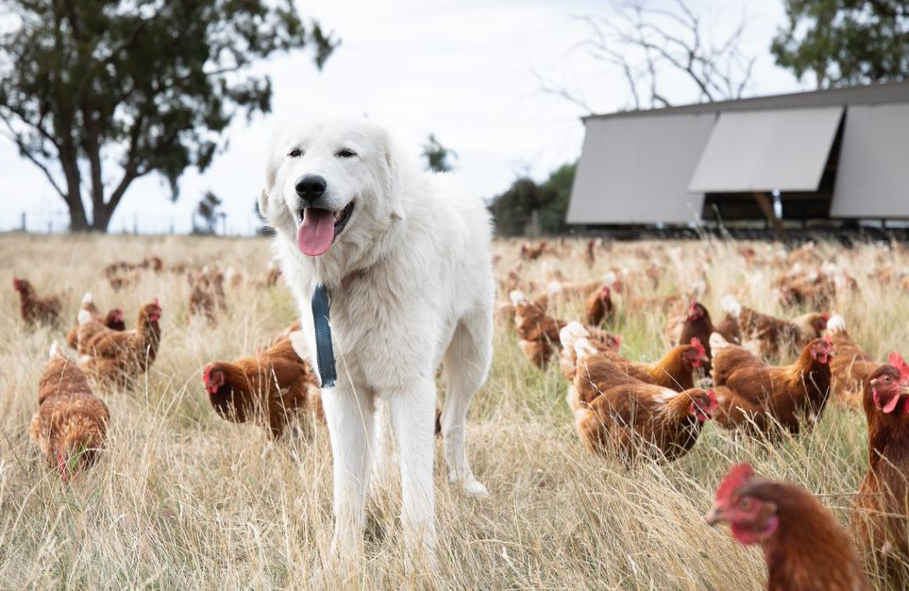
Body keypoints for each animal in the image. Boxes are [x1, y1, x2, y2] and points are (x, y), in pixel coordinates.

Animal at [255, 118, 496, 560]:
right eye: (295, 153)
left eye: (346, 153)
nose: (309, 186)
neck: (354, 274)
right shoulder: (344, 392)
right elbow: (348, 491)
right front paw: (344, 560)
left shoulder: (412, 389)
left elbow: (417, 500)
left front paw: (421, 565)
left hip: (472, 361)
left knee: (455, 423)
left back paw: (465, 483)